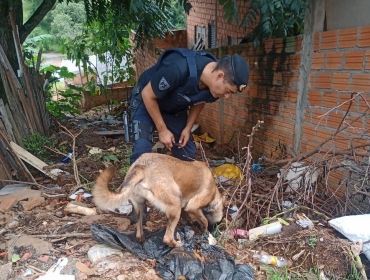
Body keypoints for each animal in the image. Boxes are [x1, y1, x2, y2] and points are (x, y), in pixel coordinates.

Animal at [94, 153, 224, 247]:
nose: (215, 228)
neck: (214, 191)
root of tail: (142, 167)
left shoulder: (185, 208)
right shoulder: (192, 206)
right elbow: (204, 220)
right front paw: (205, 231)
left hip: (140, 205)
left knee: (139, 225)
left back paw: (141, 238)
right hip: (175, 205)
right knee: (167, 238)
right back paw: (176, 244)